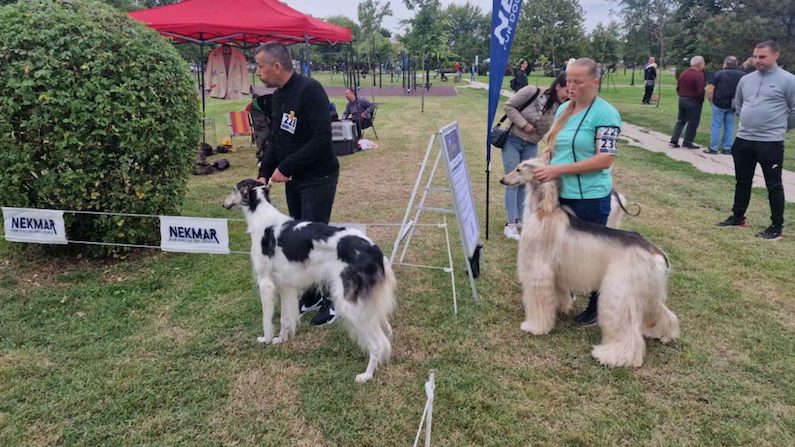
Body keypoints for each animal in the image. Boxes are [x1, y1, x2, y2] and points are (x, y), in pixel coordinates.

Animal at [222, 180, 396, 384]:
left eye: (233, 189)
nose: (224, 204)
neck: (262, 216)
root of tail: (373, 249)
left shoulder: (266, 283)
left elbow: (267, 318)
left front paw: (266, 339)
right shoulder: (285, 285)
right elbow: (285, 318)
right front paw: (281, 339)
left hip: (349, 304)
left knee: (377, 344)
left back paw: (366, 375)